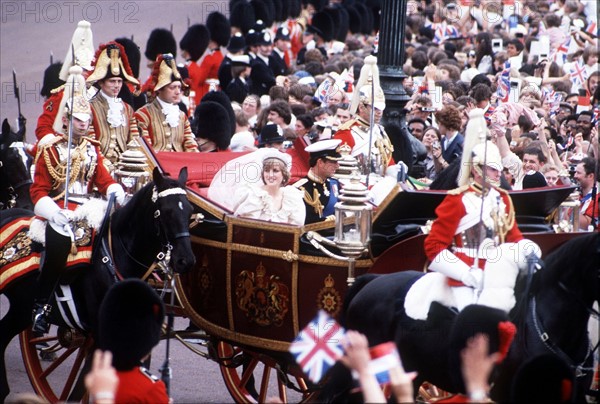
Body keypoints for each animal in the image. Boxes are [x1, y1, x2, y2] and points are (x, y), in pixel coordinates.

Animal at [0, 166, 196, 400]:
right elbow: (80, 388)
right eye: (166, 211)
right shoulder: (99, 336)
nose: (185, 260)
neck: (117, 257)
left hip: (21, 309)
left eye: (190, 211)